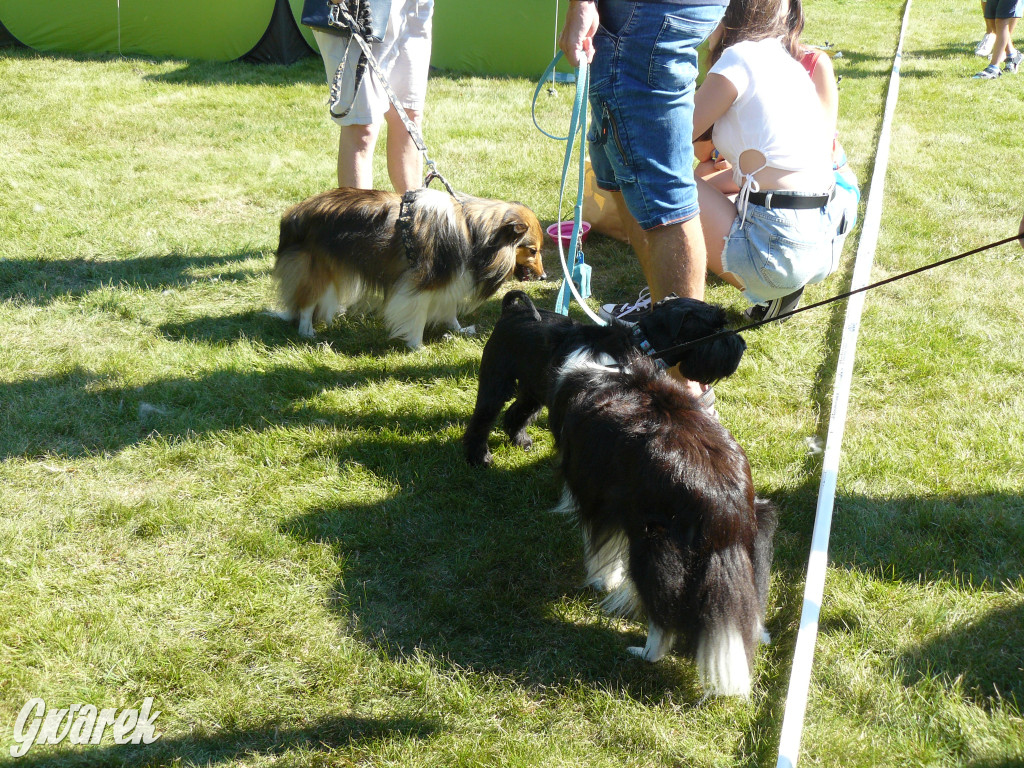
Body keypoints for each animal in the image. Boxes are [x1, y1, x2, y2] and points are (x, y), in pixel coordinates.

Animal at [272, 188, 544, 350]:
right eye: (533, 250)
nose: (544, 276)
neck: (474, 231)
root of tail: (293, 214)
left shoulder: (450, 278)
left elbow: (449, 309)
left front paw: (458, 330)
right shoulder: (420, 283)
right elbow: (418, 315)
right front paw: (417, 346)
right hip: (315, 271)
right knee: (306, 303)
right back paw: (307, 332)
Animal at [464, 290, 774, 700]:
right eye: (714, 328)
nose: (741, 345)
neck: (634, 349)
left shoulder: (600, 495)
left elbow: (601, 550)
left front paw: (601, 581)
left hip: (653, 545)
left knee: (664, 617)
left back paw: (646, 652)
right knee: (493, 416)